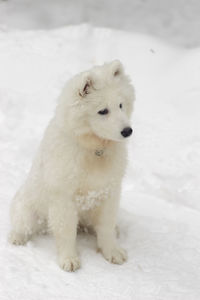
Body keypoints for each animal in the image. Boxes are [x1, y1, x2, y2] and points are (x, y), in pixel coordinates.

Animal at [8, 61, 135, 272]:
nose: (128, 131)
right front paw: (69, 260)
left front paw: (112, 252)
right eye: (103, 111)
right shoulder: (63, 197)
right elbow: (66, 232)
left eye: (120, 105)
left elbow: (106, 227)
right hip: (28, 211)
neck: (94, 150)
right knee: (21, 225)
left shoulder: (109, 192)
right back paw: (16, 238)